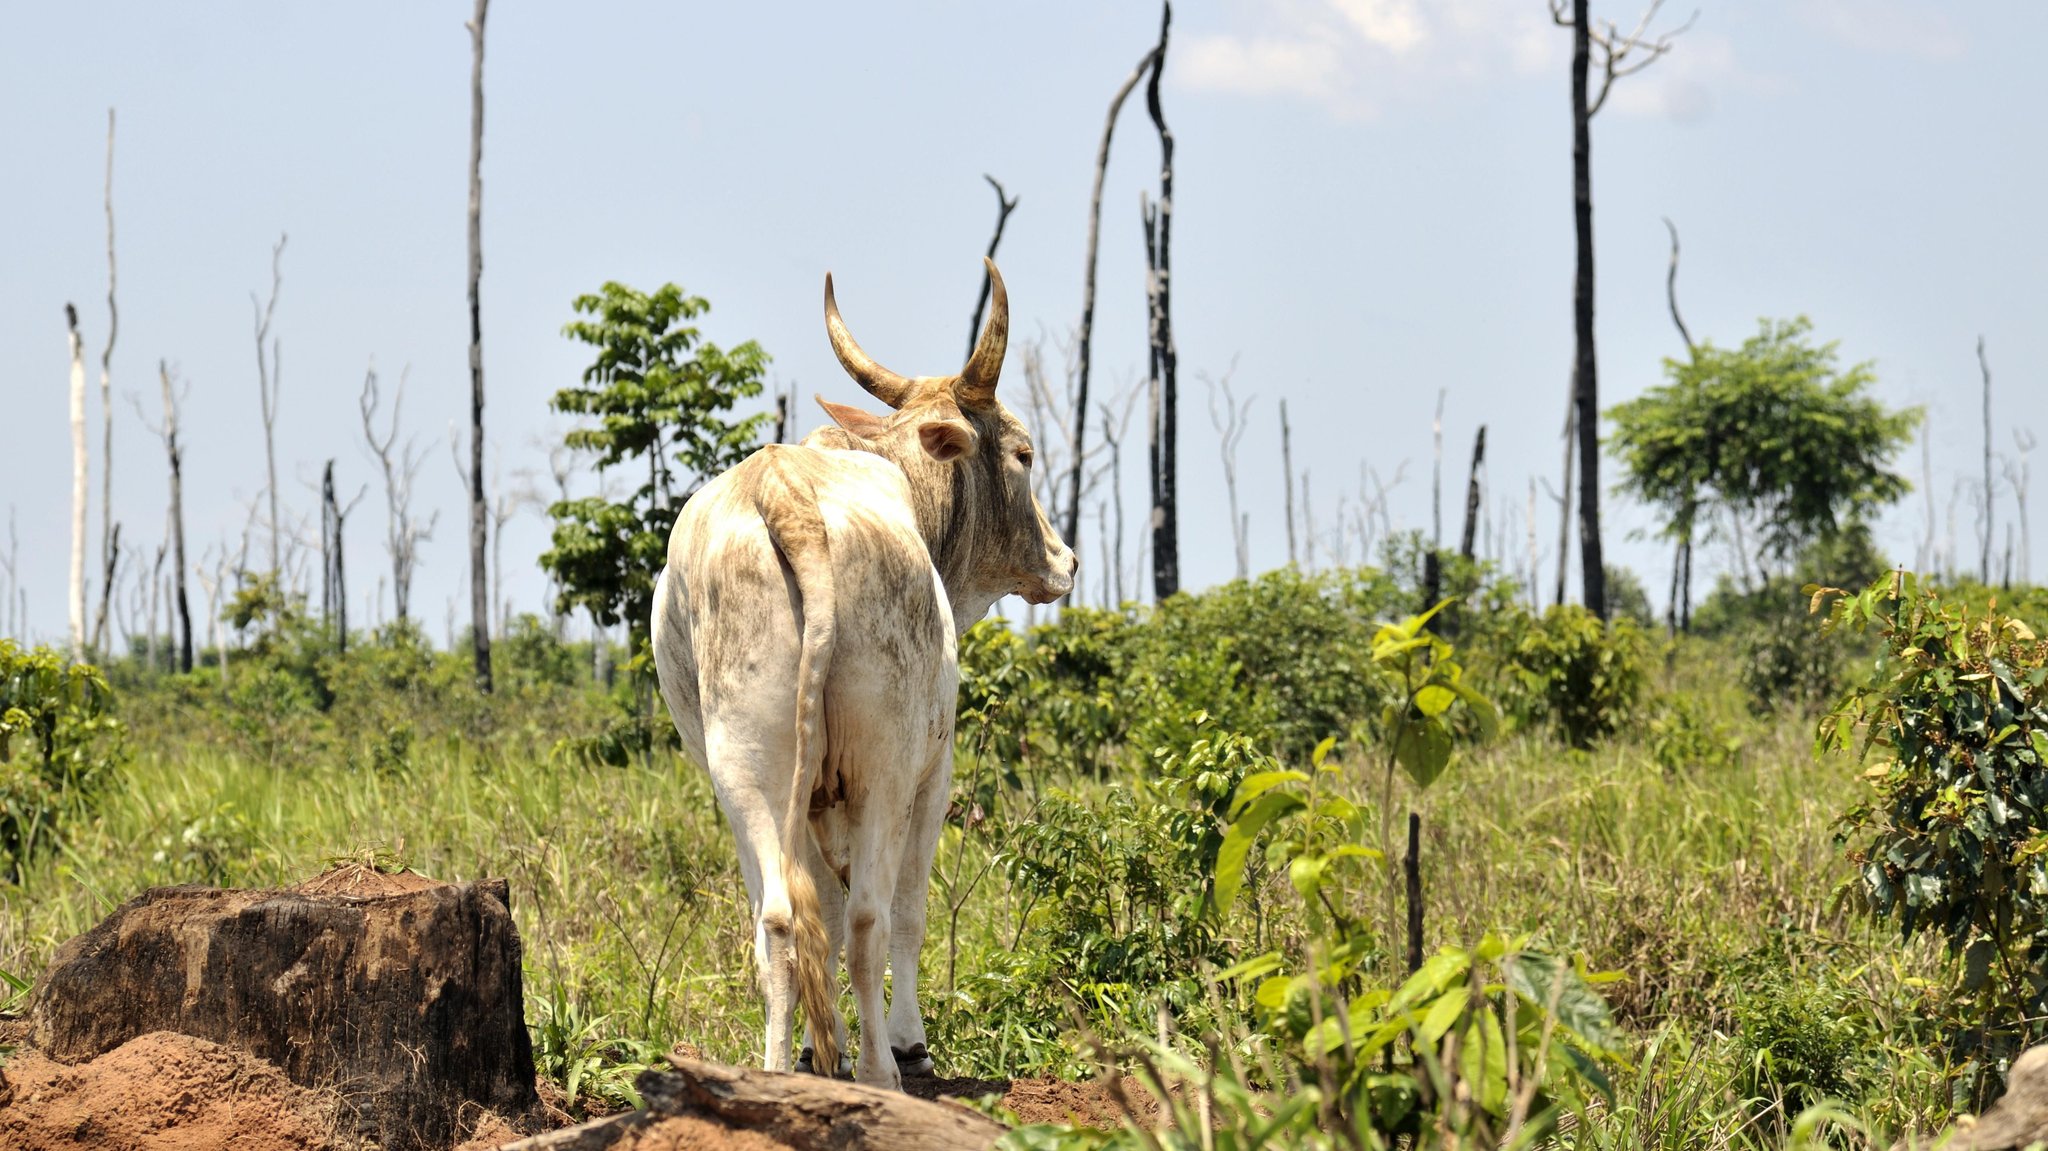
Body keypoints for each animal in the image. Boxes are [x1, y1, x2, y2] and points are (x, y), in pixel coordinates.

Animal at [651, 260, 1073, 1081]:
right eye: (1024, 454)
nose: (1064, 560)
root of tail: (783, 490)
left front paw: (828, 1048)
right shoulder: (933, 771)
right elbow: (906, 913)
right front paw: (910, 1041)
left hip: (745, 766)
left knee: (781, 917)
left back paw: (783, 1070)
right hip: (884, 764)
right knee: (871, 919)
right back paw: (884, 1072)